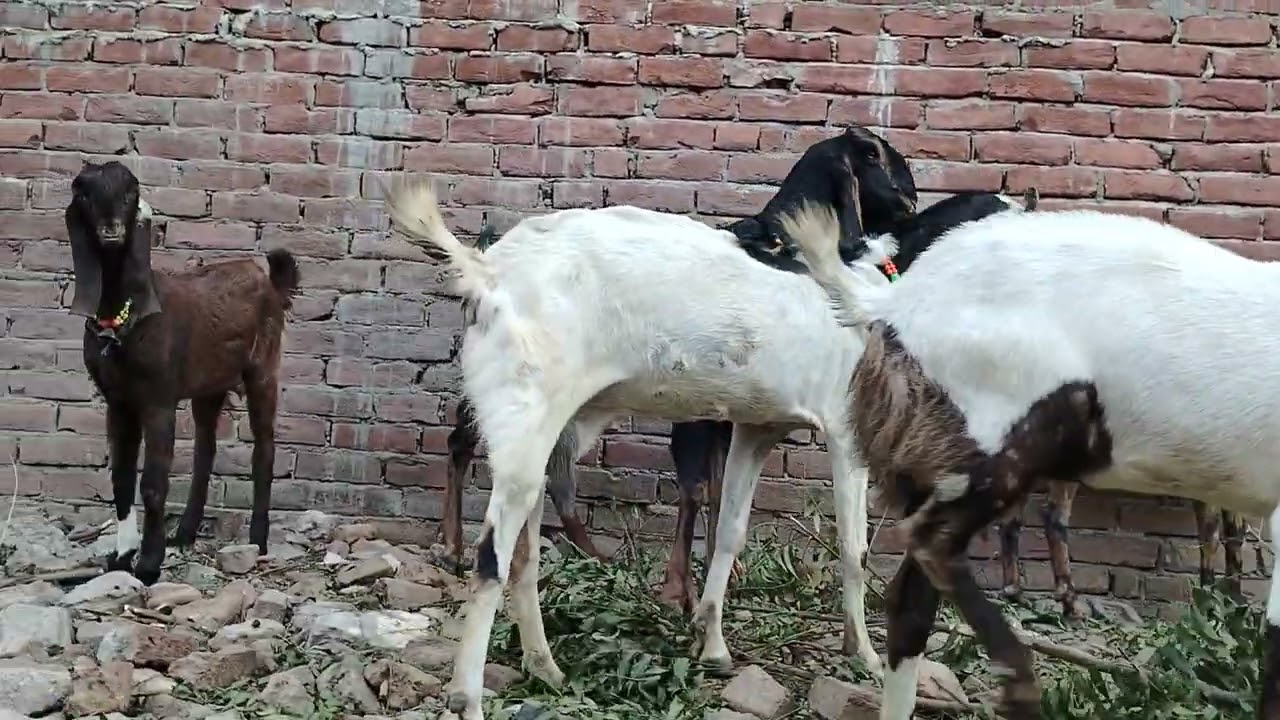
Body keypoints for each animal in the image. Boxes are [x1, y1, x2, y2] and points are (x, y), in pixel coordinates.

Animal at [67, 160, 299, 586]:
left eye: (130, 193)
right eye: (85, 195)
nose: (111, 229)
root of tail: (268, 280)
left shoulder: (157, 397)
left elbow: (153, 483)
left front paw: (148, 564)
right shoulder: (117, 400)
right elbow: (121, 477)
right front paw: (121, 556)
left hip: (263, 368)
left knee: (265, 446)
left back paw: (258, 540)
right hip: (210, 384)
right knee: (206, 446)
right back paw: (186, 532)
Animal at [435, 126, 921, 618]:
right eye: (881, 159)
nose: (915, 202)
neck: (780, 246)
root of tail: (486, 260)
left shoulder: (732, 415)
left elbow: (718, 491)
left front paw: (720, 575)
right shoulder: (699, 417)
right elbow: (694, 488)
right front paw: (678, 587)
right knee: (466, 443)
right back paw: (454, 545)